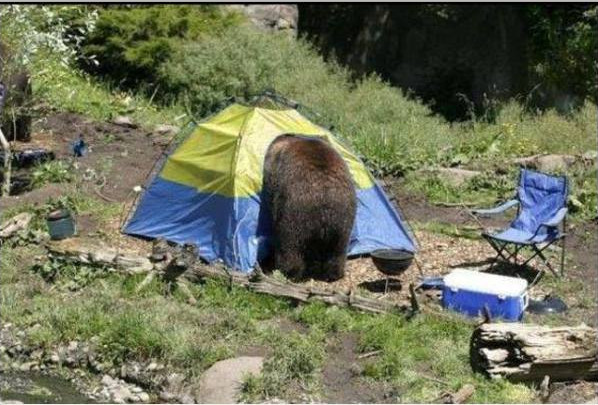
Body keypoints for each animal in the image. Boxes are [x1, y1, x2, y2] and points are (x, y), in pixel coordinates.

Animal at [262, 134, 356, 280]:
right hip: (343, 221)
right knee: (338, 250)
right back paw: (334, 273)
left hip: (293, 216)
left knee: (290, 246)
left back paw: (288, 271)